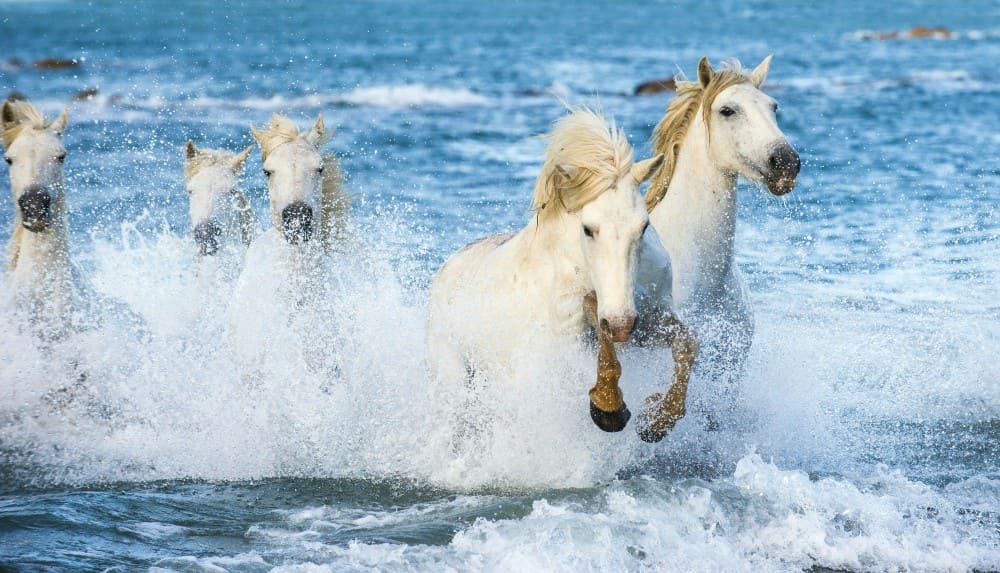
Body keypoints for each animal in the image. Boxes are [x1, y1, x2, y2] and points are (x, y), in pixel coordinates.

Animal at [427, 106, 698, 443]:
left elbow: (687, 344)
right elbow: (605, 354)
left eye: (644, 226)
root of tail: (446, 269)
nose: (621, 325)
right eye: (588, 229)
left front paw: (657, 420)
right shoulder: (569, 342)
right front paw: (608, 408)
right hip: (454, 379)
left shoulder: (652, 322)